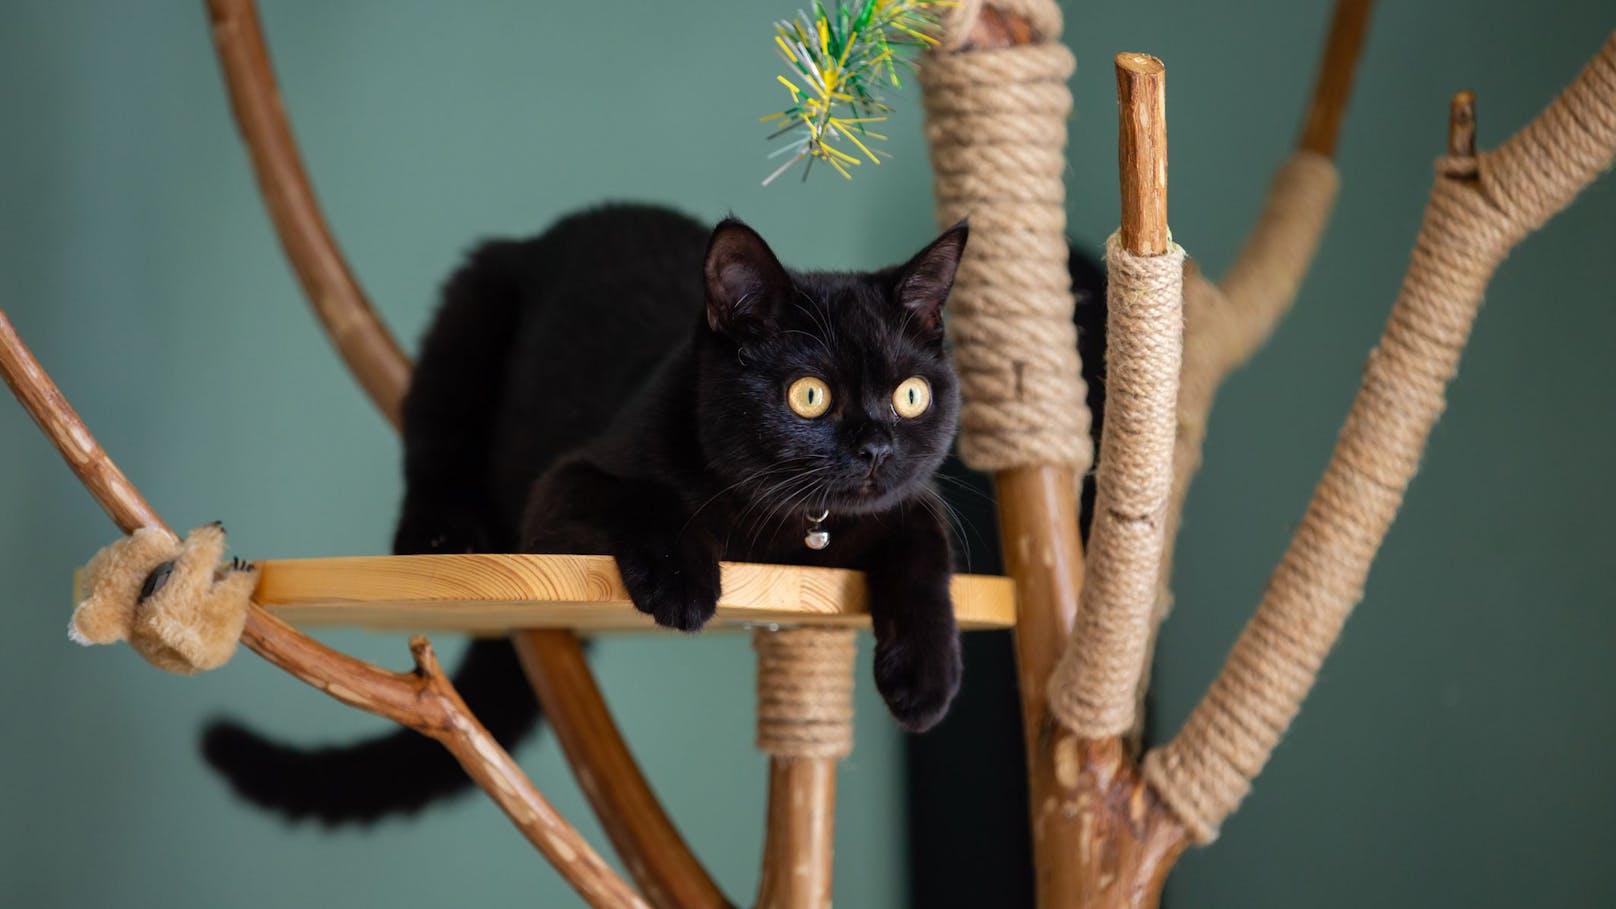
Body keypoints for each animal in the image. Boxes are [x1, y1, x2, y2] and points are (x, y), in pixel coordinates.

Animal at [208, 205, 976, 821]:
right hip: (471, 309)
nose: (876, 447)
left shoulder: (905, 502)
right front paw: (683, 583)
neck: (792, 535)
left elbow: (925, 544)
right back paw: (440, 536)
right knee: (434, 450)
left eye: (910, 396)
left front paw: (928, 676)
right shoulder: (561, 489)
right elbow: (647, 494)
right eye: (809, 396)